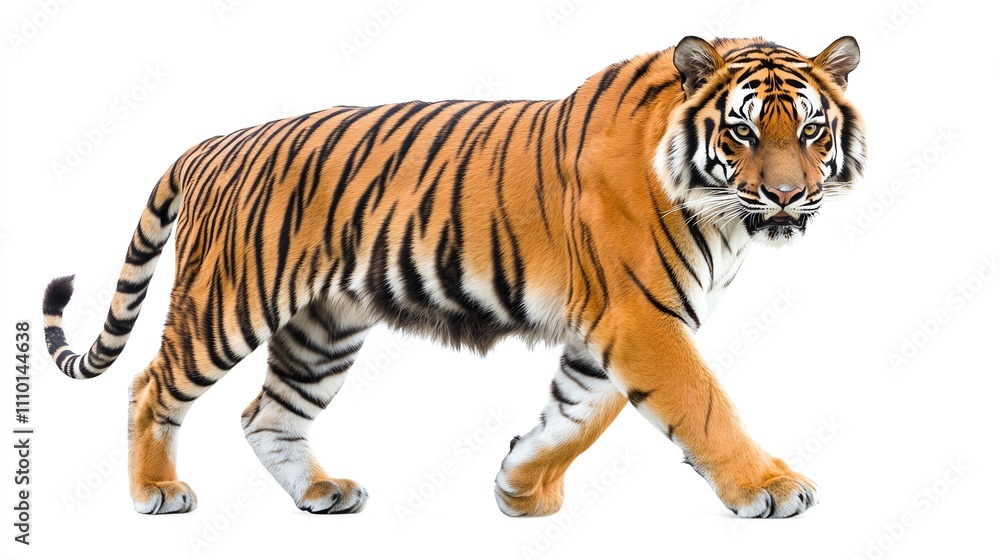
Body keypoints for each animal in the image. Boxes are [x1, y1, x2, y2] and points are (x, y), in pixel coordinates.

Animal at [42, 35, 865, 518]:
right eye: (743, 130)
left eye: (811, 131)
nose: (788, 195)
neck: (719, 211)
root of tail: (212, 143)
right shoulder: (642, 317)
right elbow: (702, 404)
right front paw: (769, 488)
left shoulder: (611, 326)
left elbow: (577, 415)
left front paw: (519, 486)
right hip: (227, 303)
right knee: (151, 386)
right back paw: (156, 492)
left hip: (322, 329)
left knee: (267, 415)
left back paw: (319, 492)